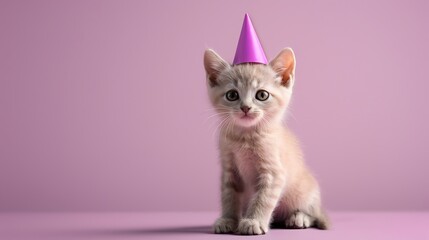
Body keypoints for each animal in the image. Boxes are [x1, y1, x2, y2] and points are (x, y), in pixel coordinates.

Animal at [203, 48, 328, 234]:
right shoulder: (229, 170)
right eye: (232, 95)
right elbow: (229, 196)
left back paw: (298, 218)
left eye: (262, 95)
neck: (245, 137)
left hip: (306, 193)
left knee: (313, 213)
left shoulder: (274, 172)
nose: (245, 108)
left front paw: (253, 221)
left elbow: (263, 198)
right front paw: (228, 219)